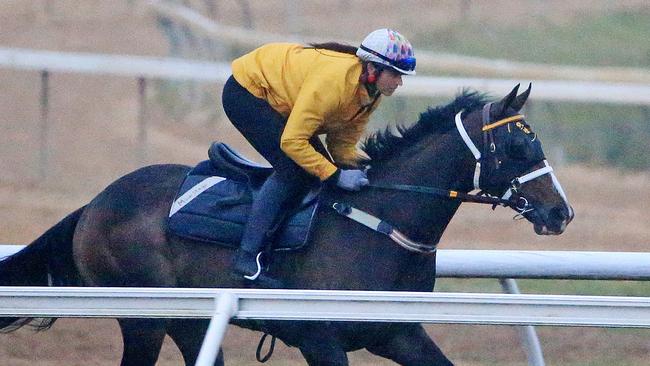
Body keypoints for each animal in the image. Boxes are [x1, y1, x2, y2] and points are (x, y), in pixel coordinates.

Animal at [0, 83, 568, 366]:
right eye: (518, 147)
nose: (561, 213)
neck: (379, 222)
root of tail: (96, 202)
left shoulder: (399, 332)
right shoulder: (319, 337)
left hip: (187, 320)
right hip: (144, 318)